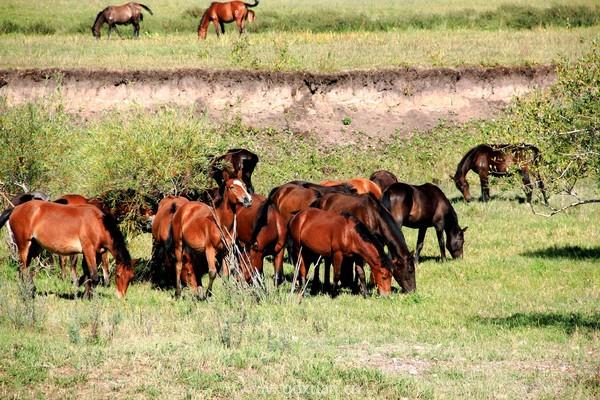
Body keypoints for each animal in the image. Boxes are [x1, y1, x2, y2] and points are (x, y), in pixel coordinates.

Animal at [0, 202, 134, 298]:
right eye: (118, 275)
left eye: (131, 277)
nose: (121, 296)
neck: (97, 224)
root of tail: (15, 208)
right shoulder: (88, 250)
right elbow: (94, 276)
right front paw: (90, 297)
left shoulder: (95, 253)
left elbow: (87, 275)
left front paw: (86, 295)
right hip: (24, 246)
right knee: (23, 268)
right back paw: (29, 293)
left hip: (35, 247)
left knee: (22, 269)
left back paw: (27, 290)